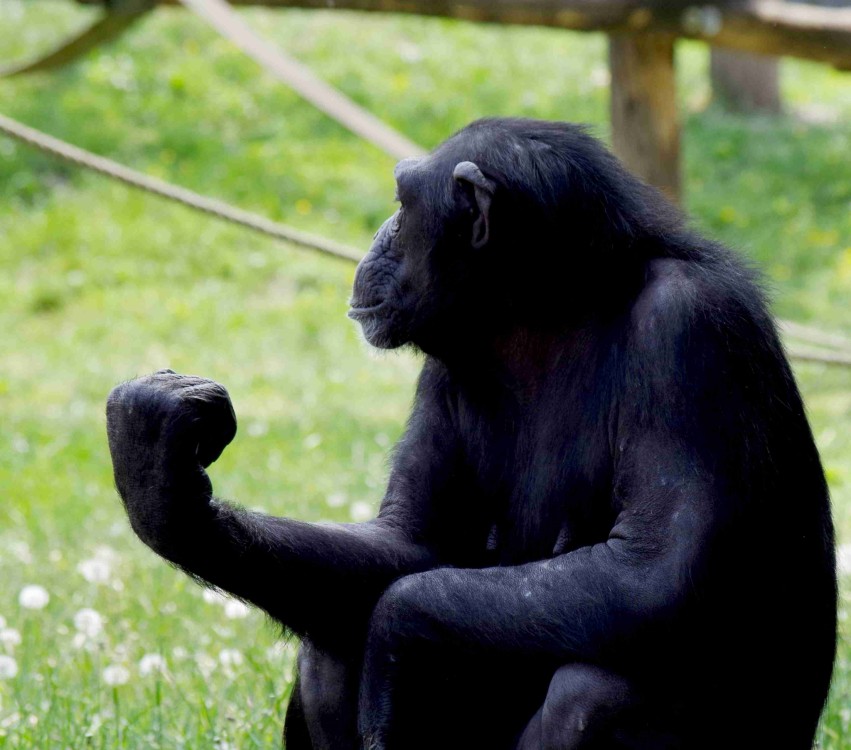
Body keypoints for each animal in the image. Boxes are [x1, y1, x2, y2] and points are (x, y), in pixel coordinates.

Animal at [106, 119, 840, 750]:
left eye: (403, 203)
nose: (378, 234)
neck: (547, 311)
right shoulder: (443, 368)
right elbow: (410, 543)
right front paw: (161, 485)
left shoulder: (690, 331)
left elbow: (656, 570)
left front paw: (396, 634)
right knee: (328, 645)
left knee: (596, 695)